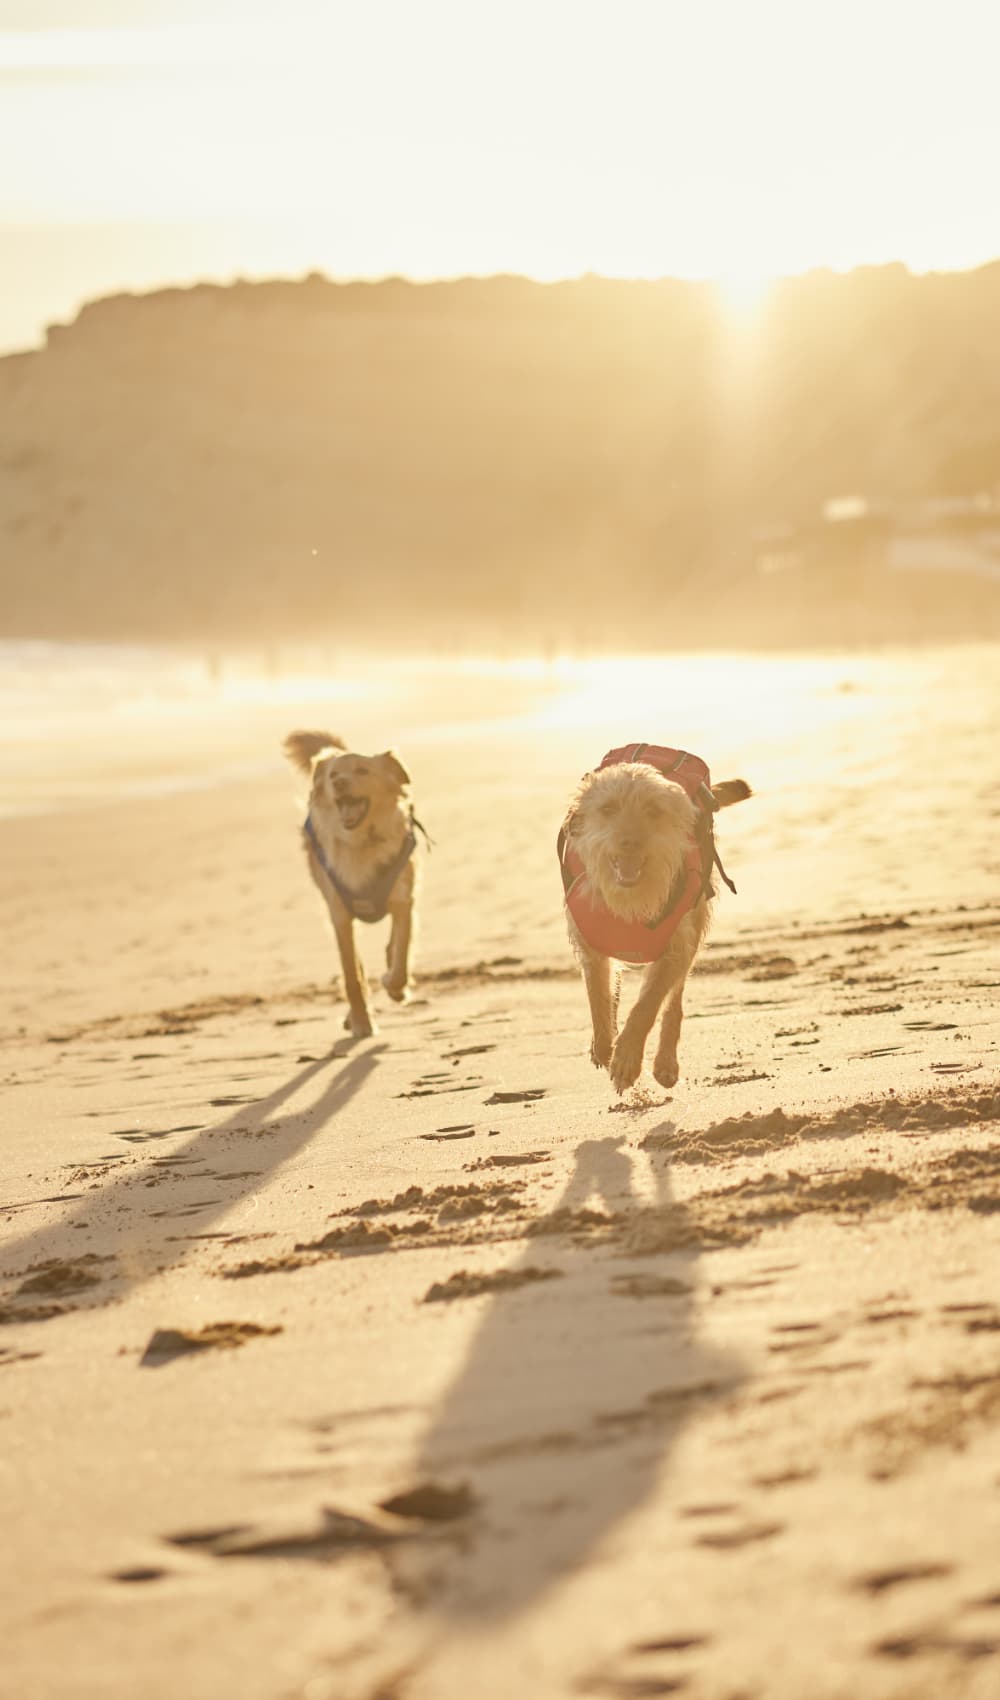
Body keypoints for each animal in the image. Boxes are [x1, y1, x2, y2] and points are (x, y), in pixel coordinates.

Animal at [284, 731, 420, 1033]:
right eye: (333, 774)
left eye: (363, 771)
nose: (339, 782)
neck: (361, 842)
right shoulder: (339, 914)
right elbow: (352, 975)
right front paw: (361, 1020)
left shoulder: (402, 899)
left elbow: (402, 951)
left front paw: (395, 985)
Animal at [561, 754, 748, 1094]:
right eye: (607, 809)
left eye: (653, 811)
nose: (630, 842)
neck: (631, 899)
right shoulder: (590, 943)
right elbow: (597, 995)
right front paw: (604, 1043)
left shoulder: (675, 945)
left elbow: (647, 1006)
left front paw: (626, 1059)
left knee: (674, 1002)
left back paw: (665, 1062)